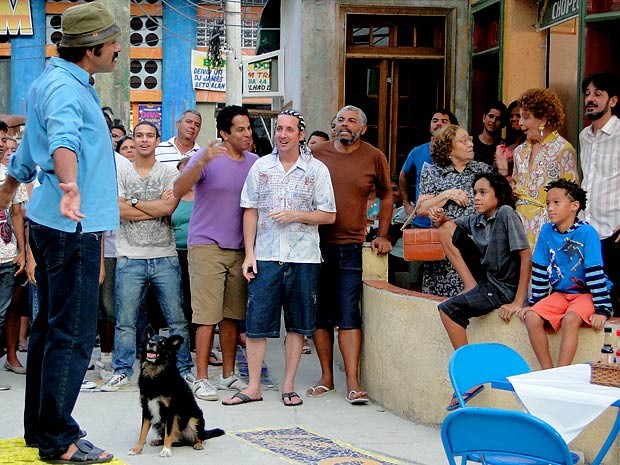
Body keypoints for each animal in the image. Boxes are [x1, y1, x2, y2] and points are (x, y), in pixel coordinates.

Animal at [128, 326, 225, 456]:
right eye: (150, 339)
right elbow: (142, 433)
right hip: (158, 423)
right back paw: (159, 441)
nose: (151, 344)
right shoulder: (146, 409)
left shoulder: (170, 411)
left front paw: (166, 450)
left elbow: (168, 432)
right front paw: (137, 449)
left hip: (194, 418)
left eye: (162, 343)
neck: (155, 374)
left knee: (199, 436)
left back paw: (197, 444)